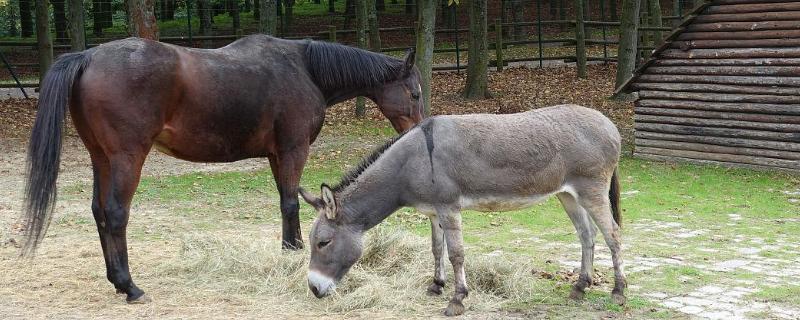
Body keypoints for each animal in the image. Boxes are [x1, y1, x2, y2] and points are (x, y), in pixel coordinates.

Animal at [21, 35, 424, 302]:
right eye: (415, 93)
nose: (420, 130)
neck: (304, 69)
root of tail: (88, 56)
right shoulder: (293, 149)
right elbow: (290, 201)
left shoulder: (276, 155)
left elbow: (285, 201)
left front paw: (290, 248)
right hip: (126, 158)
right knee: (116, 214)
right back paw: (130, 286)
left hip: (100, 158)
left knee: (99, 213)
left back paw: (115, 281)